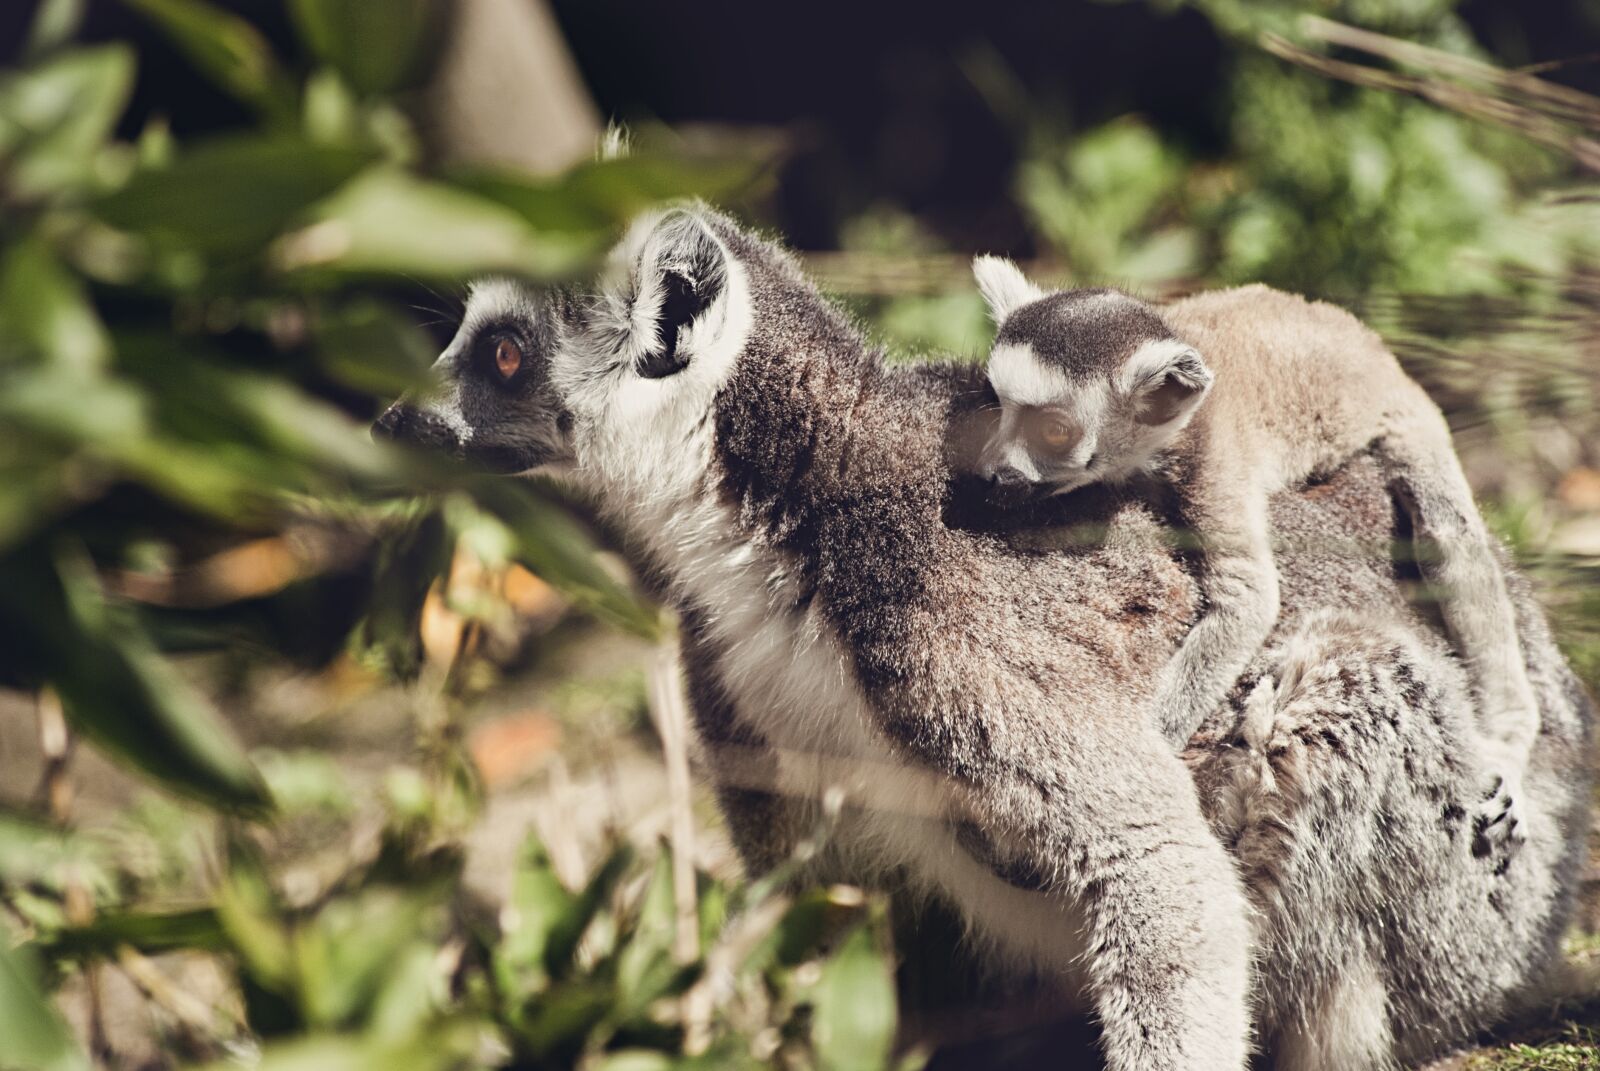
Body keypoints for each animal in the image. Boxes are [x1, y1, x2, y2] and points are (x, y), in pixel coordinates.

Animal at [970, 257, 1539, 852]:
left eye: (1054, 431)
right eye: (997, 404)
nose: (989, 473)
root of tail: (1356, 333)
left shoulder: (1213, 466)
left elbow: (1250, 600)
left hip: (1405, 416)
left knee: (1453, 544)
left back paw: (1510, 744)